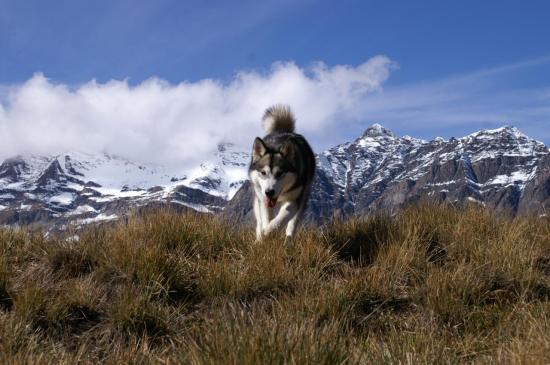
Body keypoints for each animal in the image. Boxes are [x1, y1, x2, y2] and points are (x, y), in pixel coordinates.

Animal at [249, 105, 314, 242]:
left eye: (280, 173)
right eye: (263, 172)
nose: (269, 192)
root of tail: (284, 131)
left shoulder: (294, 200)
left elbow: (283, 216)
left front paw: (270, 230)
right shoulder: (263, 199)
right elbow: (266, 218)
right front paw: (265, 234)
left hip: (303, 198)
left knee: (292, 225)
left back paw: (288, 241)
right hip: (258, 197)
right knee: (259, 221)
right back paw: (259, 238)